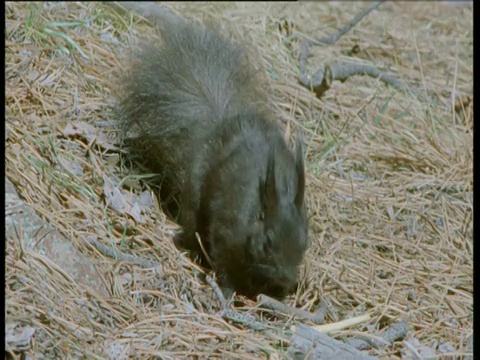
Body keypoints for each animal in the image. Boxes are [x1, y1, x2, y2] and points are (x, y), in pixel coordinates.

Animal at [118, 9, 310, 300]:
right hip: (195, 193)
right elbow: (225, 262)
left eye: (305, 242)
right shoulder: (226, 230)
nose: (287, 280)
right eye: (267, 242)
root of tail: (220, 124)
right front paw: (229, 289)